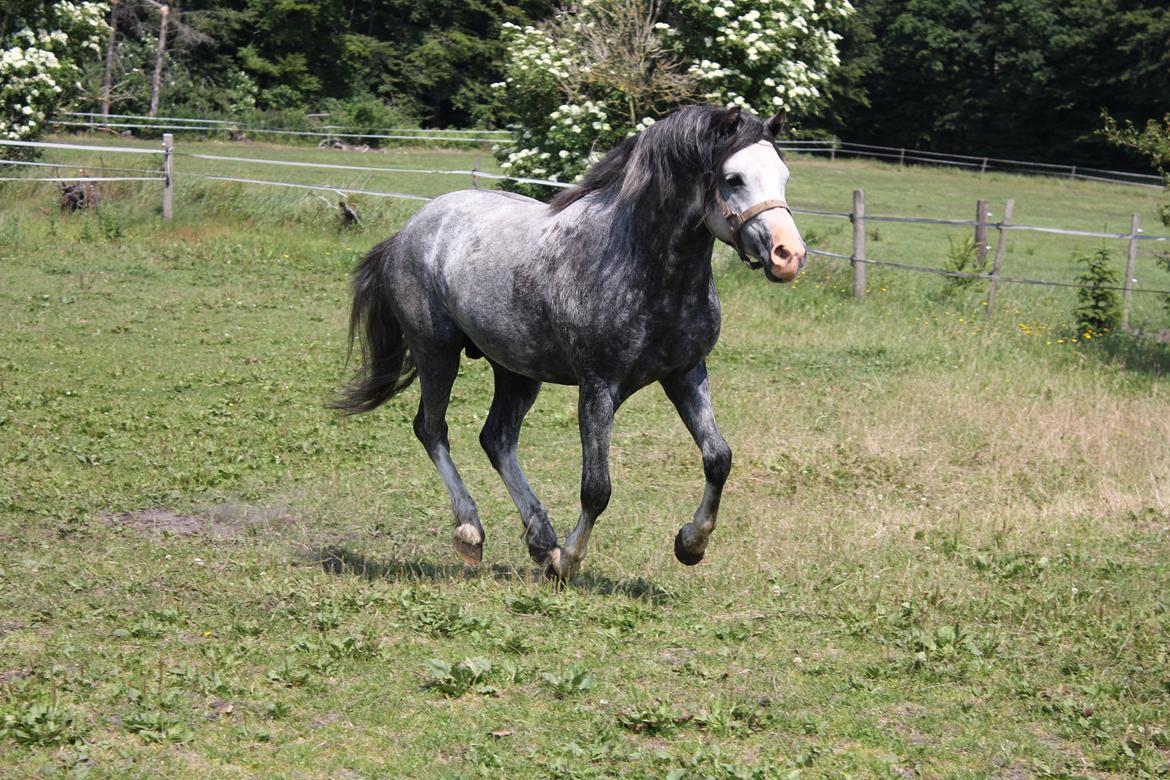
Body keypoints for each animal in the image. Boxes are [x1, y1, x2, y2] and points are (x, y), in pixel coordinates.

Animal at [336, 105, 805, 581]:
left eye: (784, 175)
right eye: (733, 179)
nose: (790, 255)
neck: (643, 267)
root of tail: (409, 230)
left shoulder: (685, 374)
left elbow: (718, 458)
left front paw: (690, 544)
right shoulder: (599, 386)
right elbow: (596, 487)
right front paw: (568, 561)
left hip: (516, 370)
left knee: (496, 438)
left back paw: (540, 539)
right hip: (436, 352)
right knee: (432, 429)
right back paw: (472, 533)